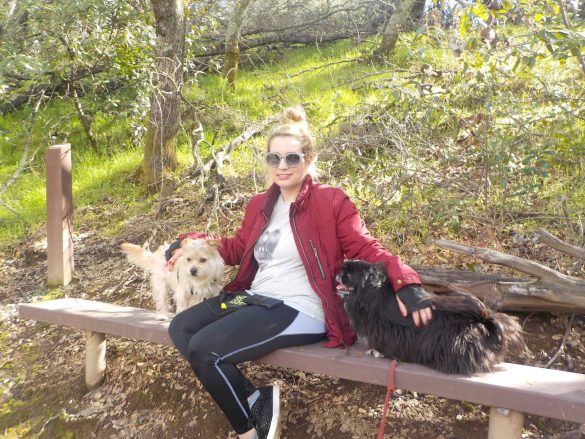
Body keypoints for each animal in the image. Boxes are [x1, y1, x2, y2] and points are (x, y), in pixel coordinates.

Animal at [337, 260, 526, 375]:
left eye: (349, 274)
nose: (338, 271)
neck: (371, 291)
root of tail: (483, 324)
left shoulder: (387, 329)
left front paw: (377, 351)